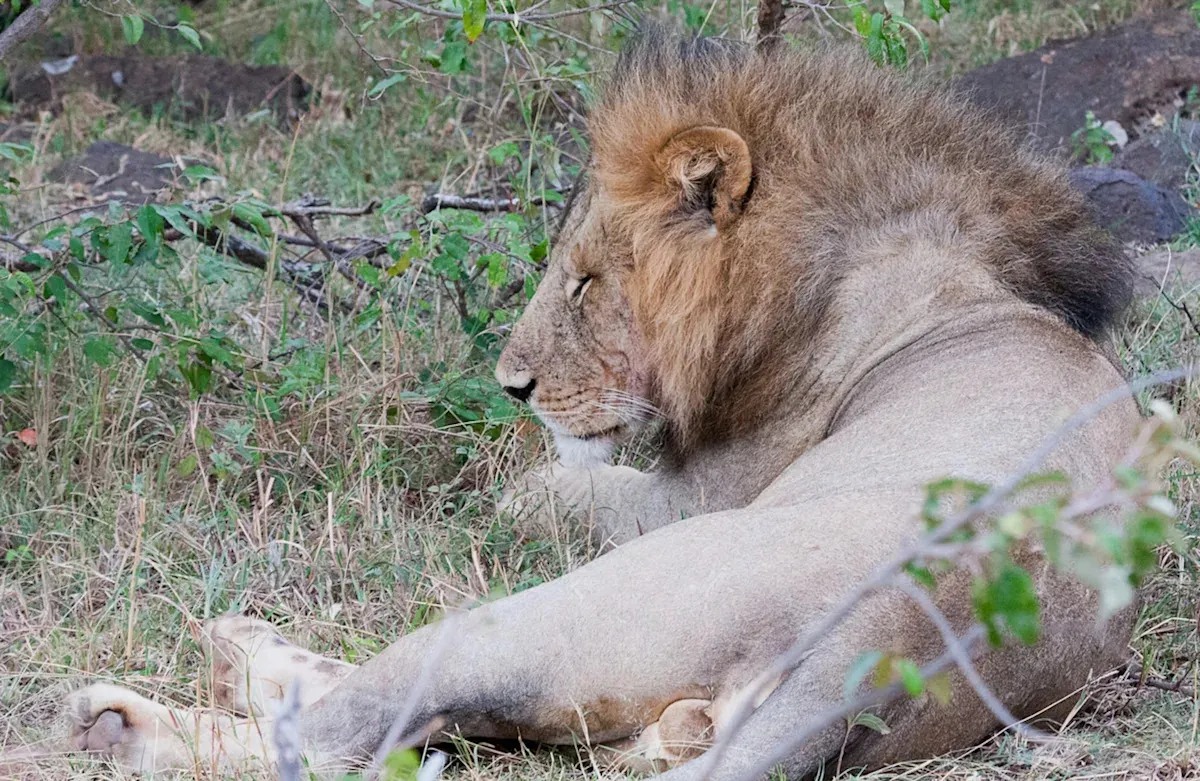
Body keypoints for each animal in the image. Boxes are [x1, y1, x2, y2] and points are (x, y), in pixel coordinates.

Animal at [58, 30, 1139, 780]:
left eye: (582, 280)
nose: (511, 386)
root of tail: (888, 639)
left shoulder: (690, 496)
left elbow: (539, 490)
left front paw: (514, 485)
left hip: (586, 602)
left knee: (340, 733)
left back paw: (127, 716)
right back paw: (241, 648)